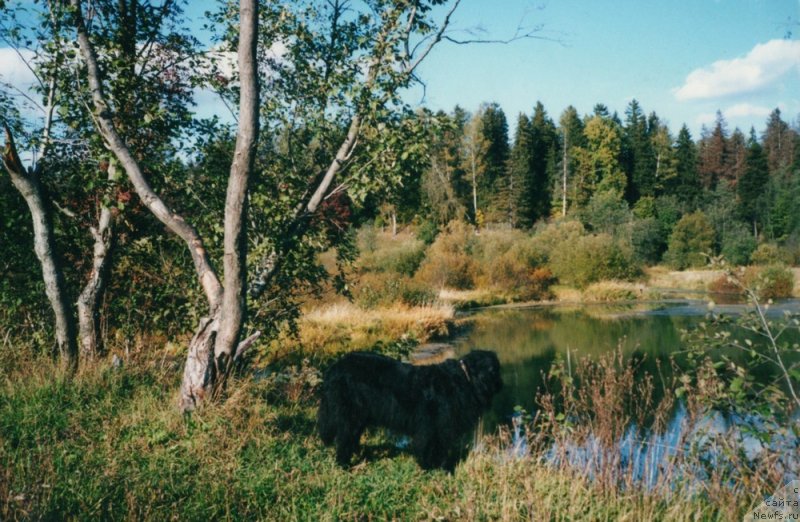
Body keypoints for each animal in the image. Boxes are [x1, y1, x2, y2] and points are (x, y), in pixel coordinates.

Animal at [318, 350, 500, 472]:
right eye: (494, 371)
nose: (500, 384)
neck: (464, 378)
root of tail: (334, 368)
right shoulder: (436, 426)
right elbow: (433, 447)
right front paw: (436, 468)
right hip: (350, 414)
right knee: (344, 439)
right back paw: (344, 464)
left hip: (359, 416)